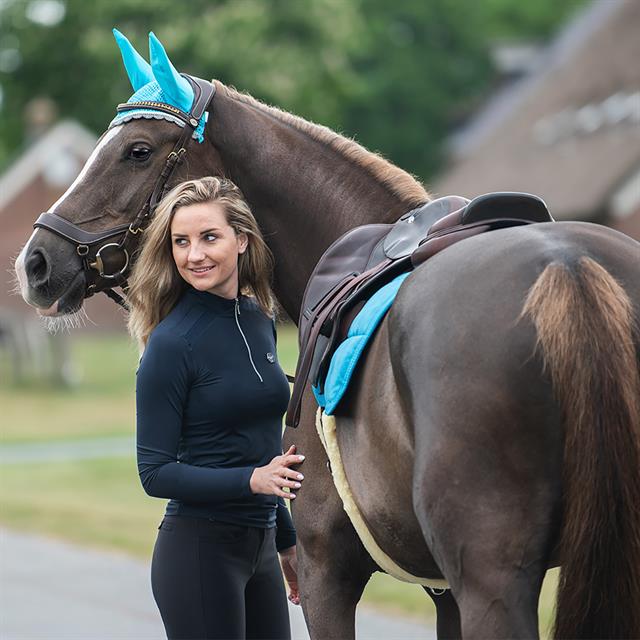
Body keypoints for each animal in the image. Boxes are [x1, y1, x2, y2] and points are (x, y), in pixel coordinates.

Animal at [12, 32, 636, 636]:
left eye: (137, 151)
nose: (35, 262)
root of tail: (566, 267)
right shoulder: (444, 591)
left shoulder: (325, 572)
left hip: (492, 578)